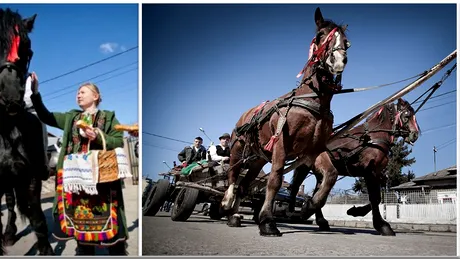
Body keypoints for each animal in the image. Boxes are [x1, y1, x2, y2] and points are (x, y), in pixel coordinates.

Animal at [221, 7, 350, 238]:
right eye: (320, 36)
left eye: (347, 42)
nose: (339, 60)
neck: (311, 100)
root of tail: (245, 115)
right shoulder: (281, 143)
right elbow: (275, 180)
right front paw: (267, 221)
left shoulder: (313, 150)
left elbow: (330, 176)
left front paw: (309, 207)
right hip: (237, 150)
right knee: (233, 177)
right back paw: (228, 205)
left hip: (258, 159)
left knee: (244, 185)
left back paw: (234, 215)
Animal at [292, 98, 420, 237]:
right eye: (407, 116)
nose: (415, 134)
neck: (374, 137)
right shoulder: (370, 171)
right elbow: (375, 198)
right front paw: (382, 225)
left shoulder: (376, 173)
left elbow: (377, 198)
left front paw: (356, 211)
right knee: (300, 185)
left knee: (316, 188)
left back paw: (319, 219)